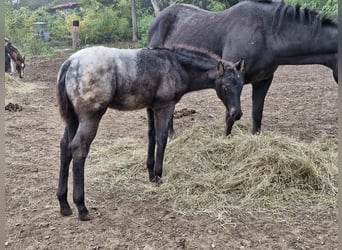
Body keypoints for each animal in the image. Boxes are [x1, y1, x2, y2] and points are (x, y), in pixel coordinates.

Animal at [56, 45, 243, 221]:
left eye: (241, 86)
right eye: (226, 87)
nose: (237, 114)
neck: (175, 64)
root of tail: (70, 63)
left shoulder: (151, 107)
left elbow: (151, 136)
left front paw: (151, 174)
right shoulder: (165, 106)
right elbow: (162, 138)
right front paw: (159, 175)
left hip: (72, 118)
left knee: (65, 147)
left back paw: (64, 204)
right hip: (91, 116)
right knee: (78, 148)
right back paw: (81, 207)